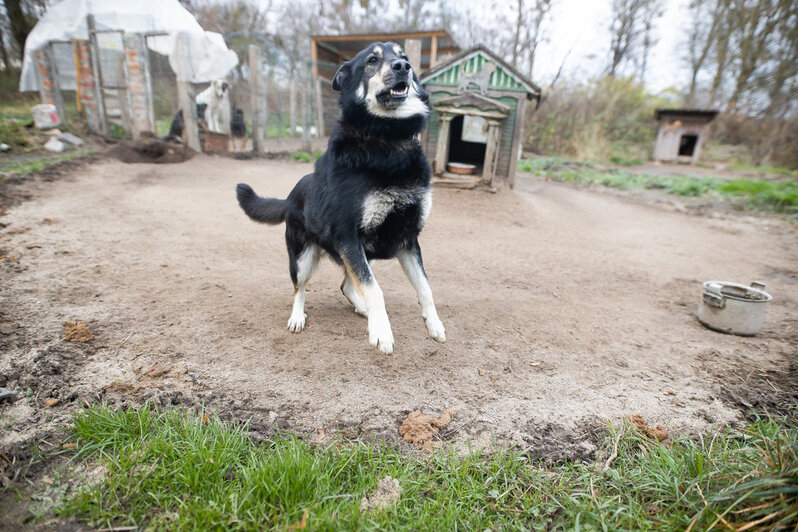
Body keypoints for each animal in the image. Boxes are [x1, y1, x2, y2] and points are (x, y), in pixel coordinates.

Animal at [238, 41, 450, 354]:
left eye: (404, 56)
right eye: (372, 60)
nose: (404, 67)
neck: (388, 140)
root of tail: (289, 197)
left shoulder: (407, 239)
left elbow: (425, 287)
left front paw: (434, 324)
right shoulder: (349, 236)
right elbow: (375, 289)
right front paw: (382, 331)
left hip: (364, 252)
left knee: (347, 285)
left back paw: (361, 309)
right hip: (303, 258)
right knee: (300, 288)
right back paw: (298, 317)